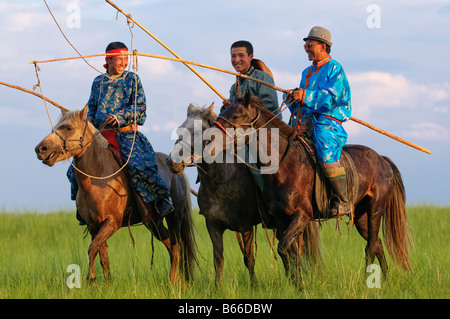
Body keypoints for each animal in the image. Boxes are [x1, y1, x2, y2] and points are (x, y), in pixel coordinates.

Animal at [34, 105, 196, 284]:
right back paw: (177, 281)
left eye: (68, 127)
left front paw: (91, 281)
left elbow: (92, 249)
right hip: (153, 222)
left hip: (174, 216)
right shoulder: (93, 225)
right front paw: (106, 285)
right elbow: (102, 254)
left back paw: (173, 281)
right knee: (171, 244)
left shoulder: (112, 222)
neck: (98, 176)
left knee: (176, 244)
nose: (40, 149)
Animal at [167, 104, 322, 286]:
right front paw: (218, 287)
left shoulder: (245, 226)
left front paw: (254, 286)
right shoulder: (213, 225)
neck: (222, 180)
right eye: (180, 130)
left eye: (198, 132)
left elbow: (249, 259)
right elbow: (218, 259)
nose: (172, 162)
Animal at [213, 92, 414, 284]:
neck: (284, 163)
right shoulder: (281, 221)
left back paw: (367, 281)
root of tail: (382, 160)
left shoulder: (302, 215)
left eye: (236, 115)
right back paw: (385, 278)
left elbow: (285, 249)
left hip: (375, 210)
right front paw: (297, 284)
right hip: (361, 216)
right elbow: (290, 253)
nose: (210, 138)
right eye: (222, 112)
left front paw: (299, 284)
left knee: (371, 246)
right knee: (377, 243)